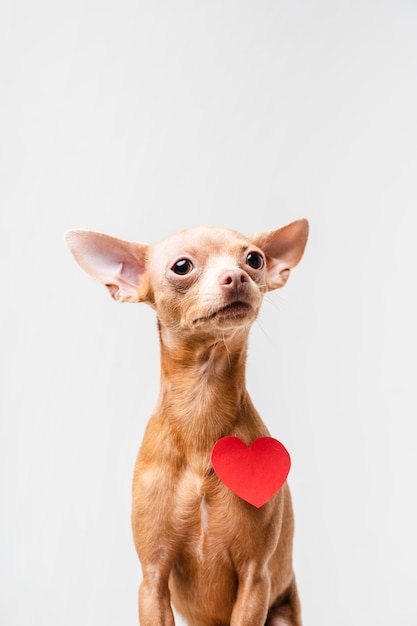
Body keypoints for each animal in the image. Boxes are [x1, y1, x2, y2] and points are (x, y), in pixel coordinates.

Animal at [64, 219, 306, 624]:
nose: (238, 276)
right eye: (182, 266)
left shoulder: (255, 579)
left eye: (254, 259)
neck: (200, 407)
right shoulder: (153, 580)